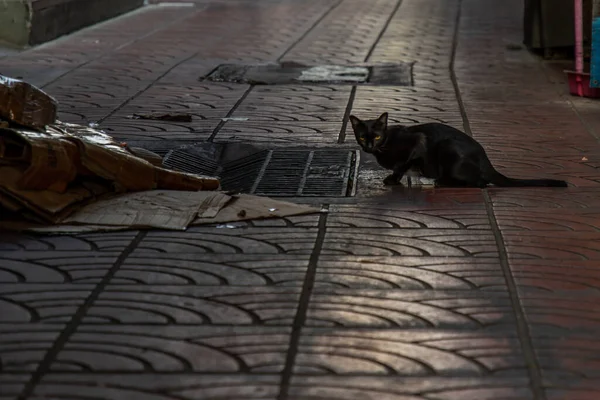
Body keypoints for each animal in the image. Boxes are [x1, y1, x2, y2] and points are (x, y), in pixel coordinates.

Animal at [346, 111, 568, 188]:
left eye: (376, 136)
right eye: (362, 136)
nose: (368, 146)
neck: (385, 144)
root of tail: (487, 160)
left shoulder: (417, 141)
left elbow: (402, 165)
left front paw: (393, 179)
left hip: (448, 147)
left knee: (480, 183)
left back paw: (442, 182)